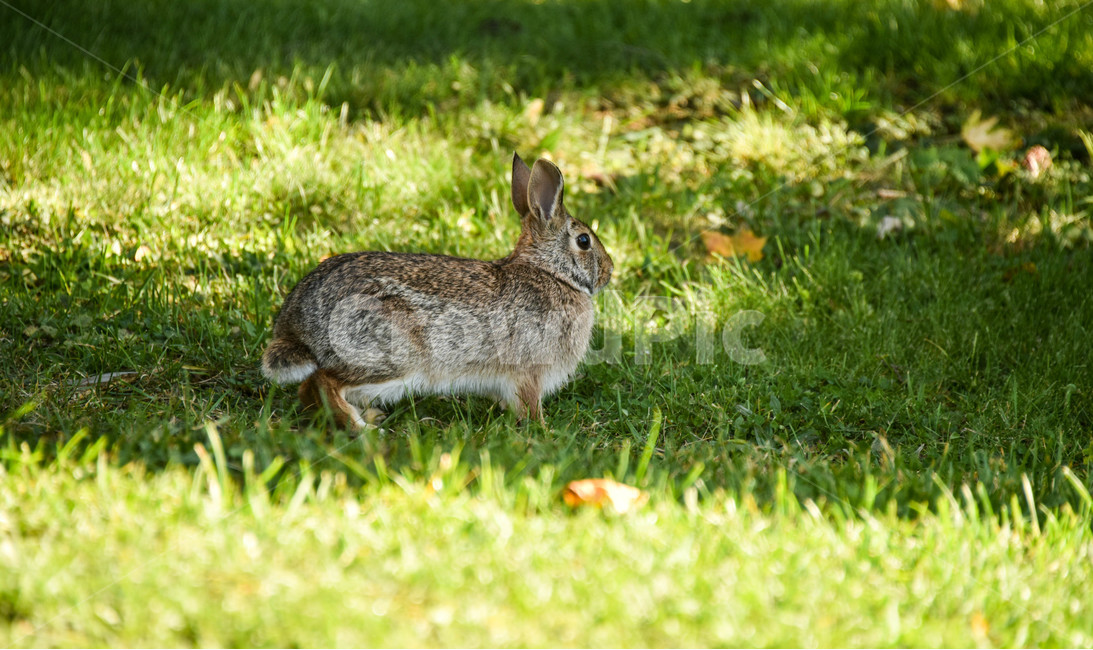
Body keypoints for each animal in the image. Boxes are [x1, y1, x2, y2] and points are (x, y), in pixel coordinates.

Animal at [261, 152, 613, 428]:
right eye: (584, 241)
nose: (609, 272)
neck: (550, 271)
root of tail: (295, 324)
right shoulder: (529, 373)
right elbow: (529, 405)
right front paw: (543, 430)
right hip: (389, 356)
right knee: (320, 383)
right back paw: (362, 429)